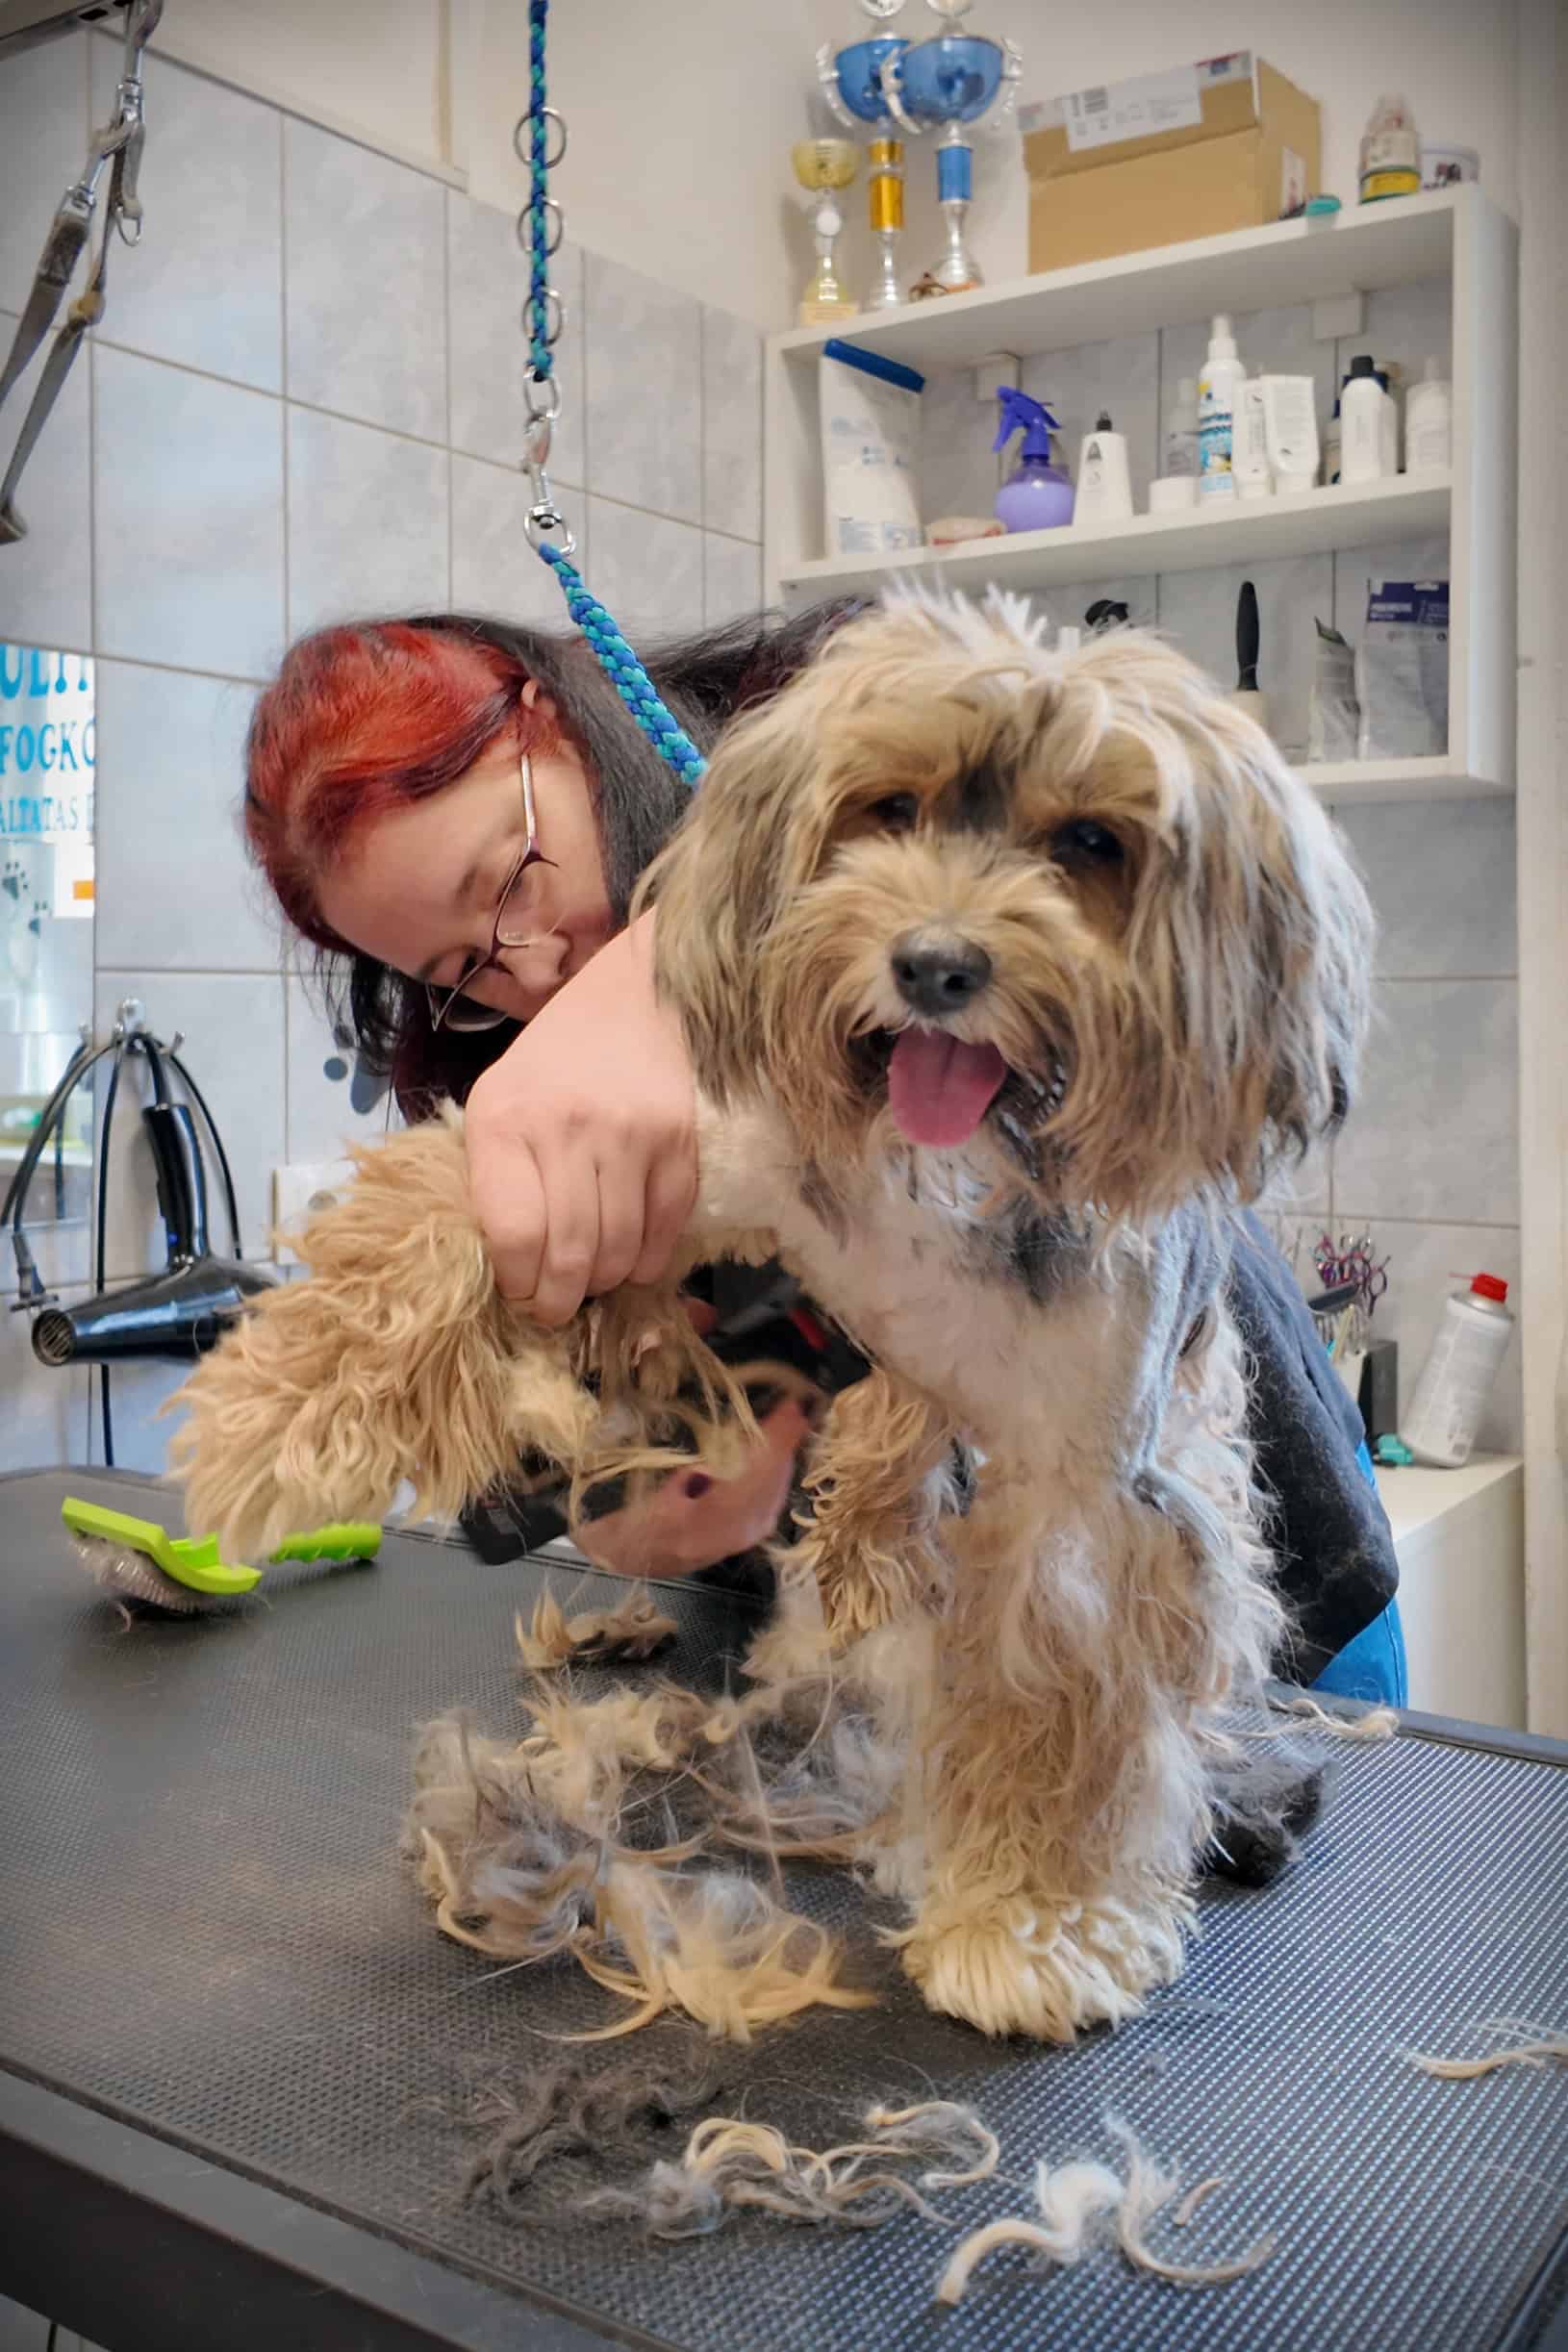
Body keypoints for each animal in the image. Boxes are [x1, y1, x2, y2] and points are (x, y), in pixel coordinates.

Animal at [172, 593, 1371, 2042]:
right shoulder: (678, 1151)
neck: (951, 1176)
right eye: (887, 808)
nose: (935, 964)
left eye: (1090, 840)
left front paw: (1026, 1925)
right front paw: (261, 1419)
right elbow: (431, 1231)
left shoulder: (1077, 1486)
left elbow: (1056, 1695)